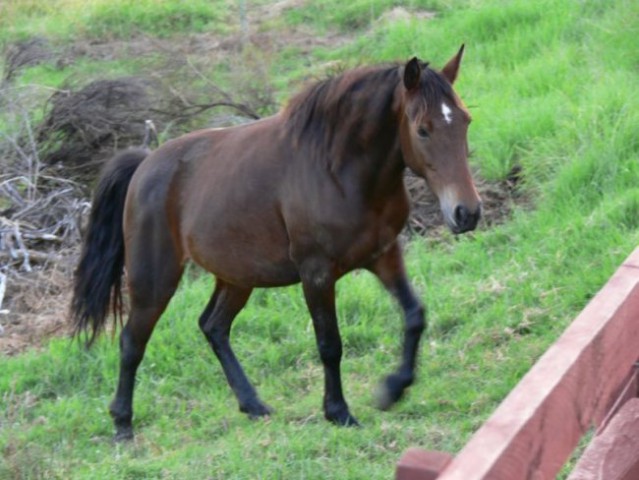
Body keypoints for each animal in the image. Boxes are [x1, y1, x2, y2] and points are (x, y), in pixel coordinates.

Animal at [70, 45, 480, 438]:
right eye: (422, 129)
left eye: (465, 120)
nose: (467, 213)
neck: (339, 170)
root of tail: (144, 164)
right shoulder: (316, 273)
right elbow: (330, 344)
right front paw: (338, 412)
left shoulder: (384, 255)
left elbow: (414, 315)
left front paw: (392, 389)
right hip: (155, 280)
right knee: (132, 342)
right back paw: (122, 424)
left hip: (237, 277)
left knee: (213, 326)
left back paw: (252, 404)